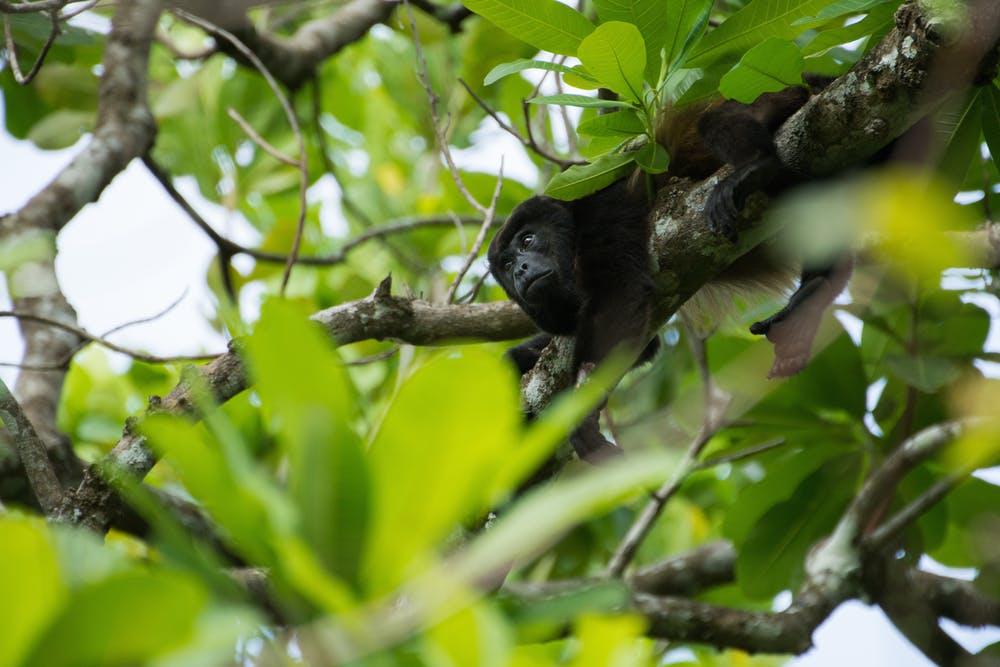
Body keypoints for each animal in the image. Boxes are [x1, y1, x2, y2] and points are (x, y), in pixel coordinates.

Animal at [488, 83, 848, 462]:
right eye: (507, 265)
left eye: (528, 239)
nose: (521, 270)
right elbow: (643, 344)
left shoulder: (597, 206)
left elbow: (619, 293)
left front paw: (584, 416)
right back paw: (811, 296)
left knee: (716, 118)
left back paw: (756, 167)